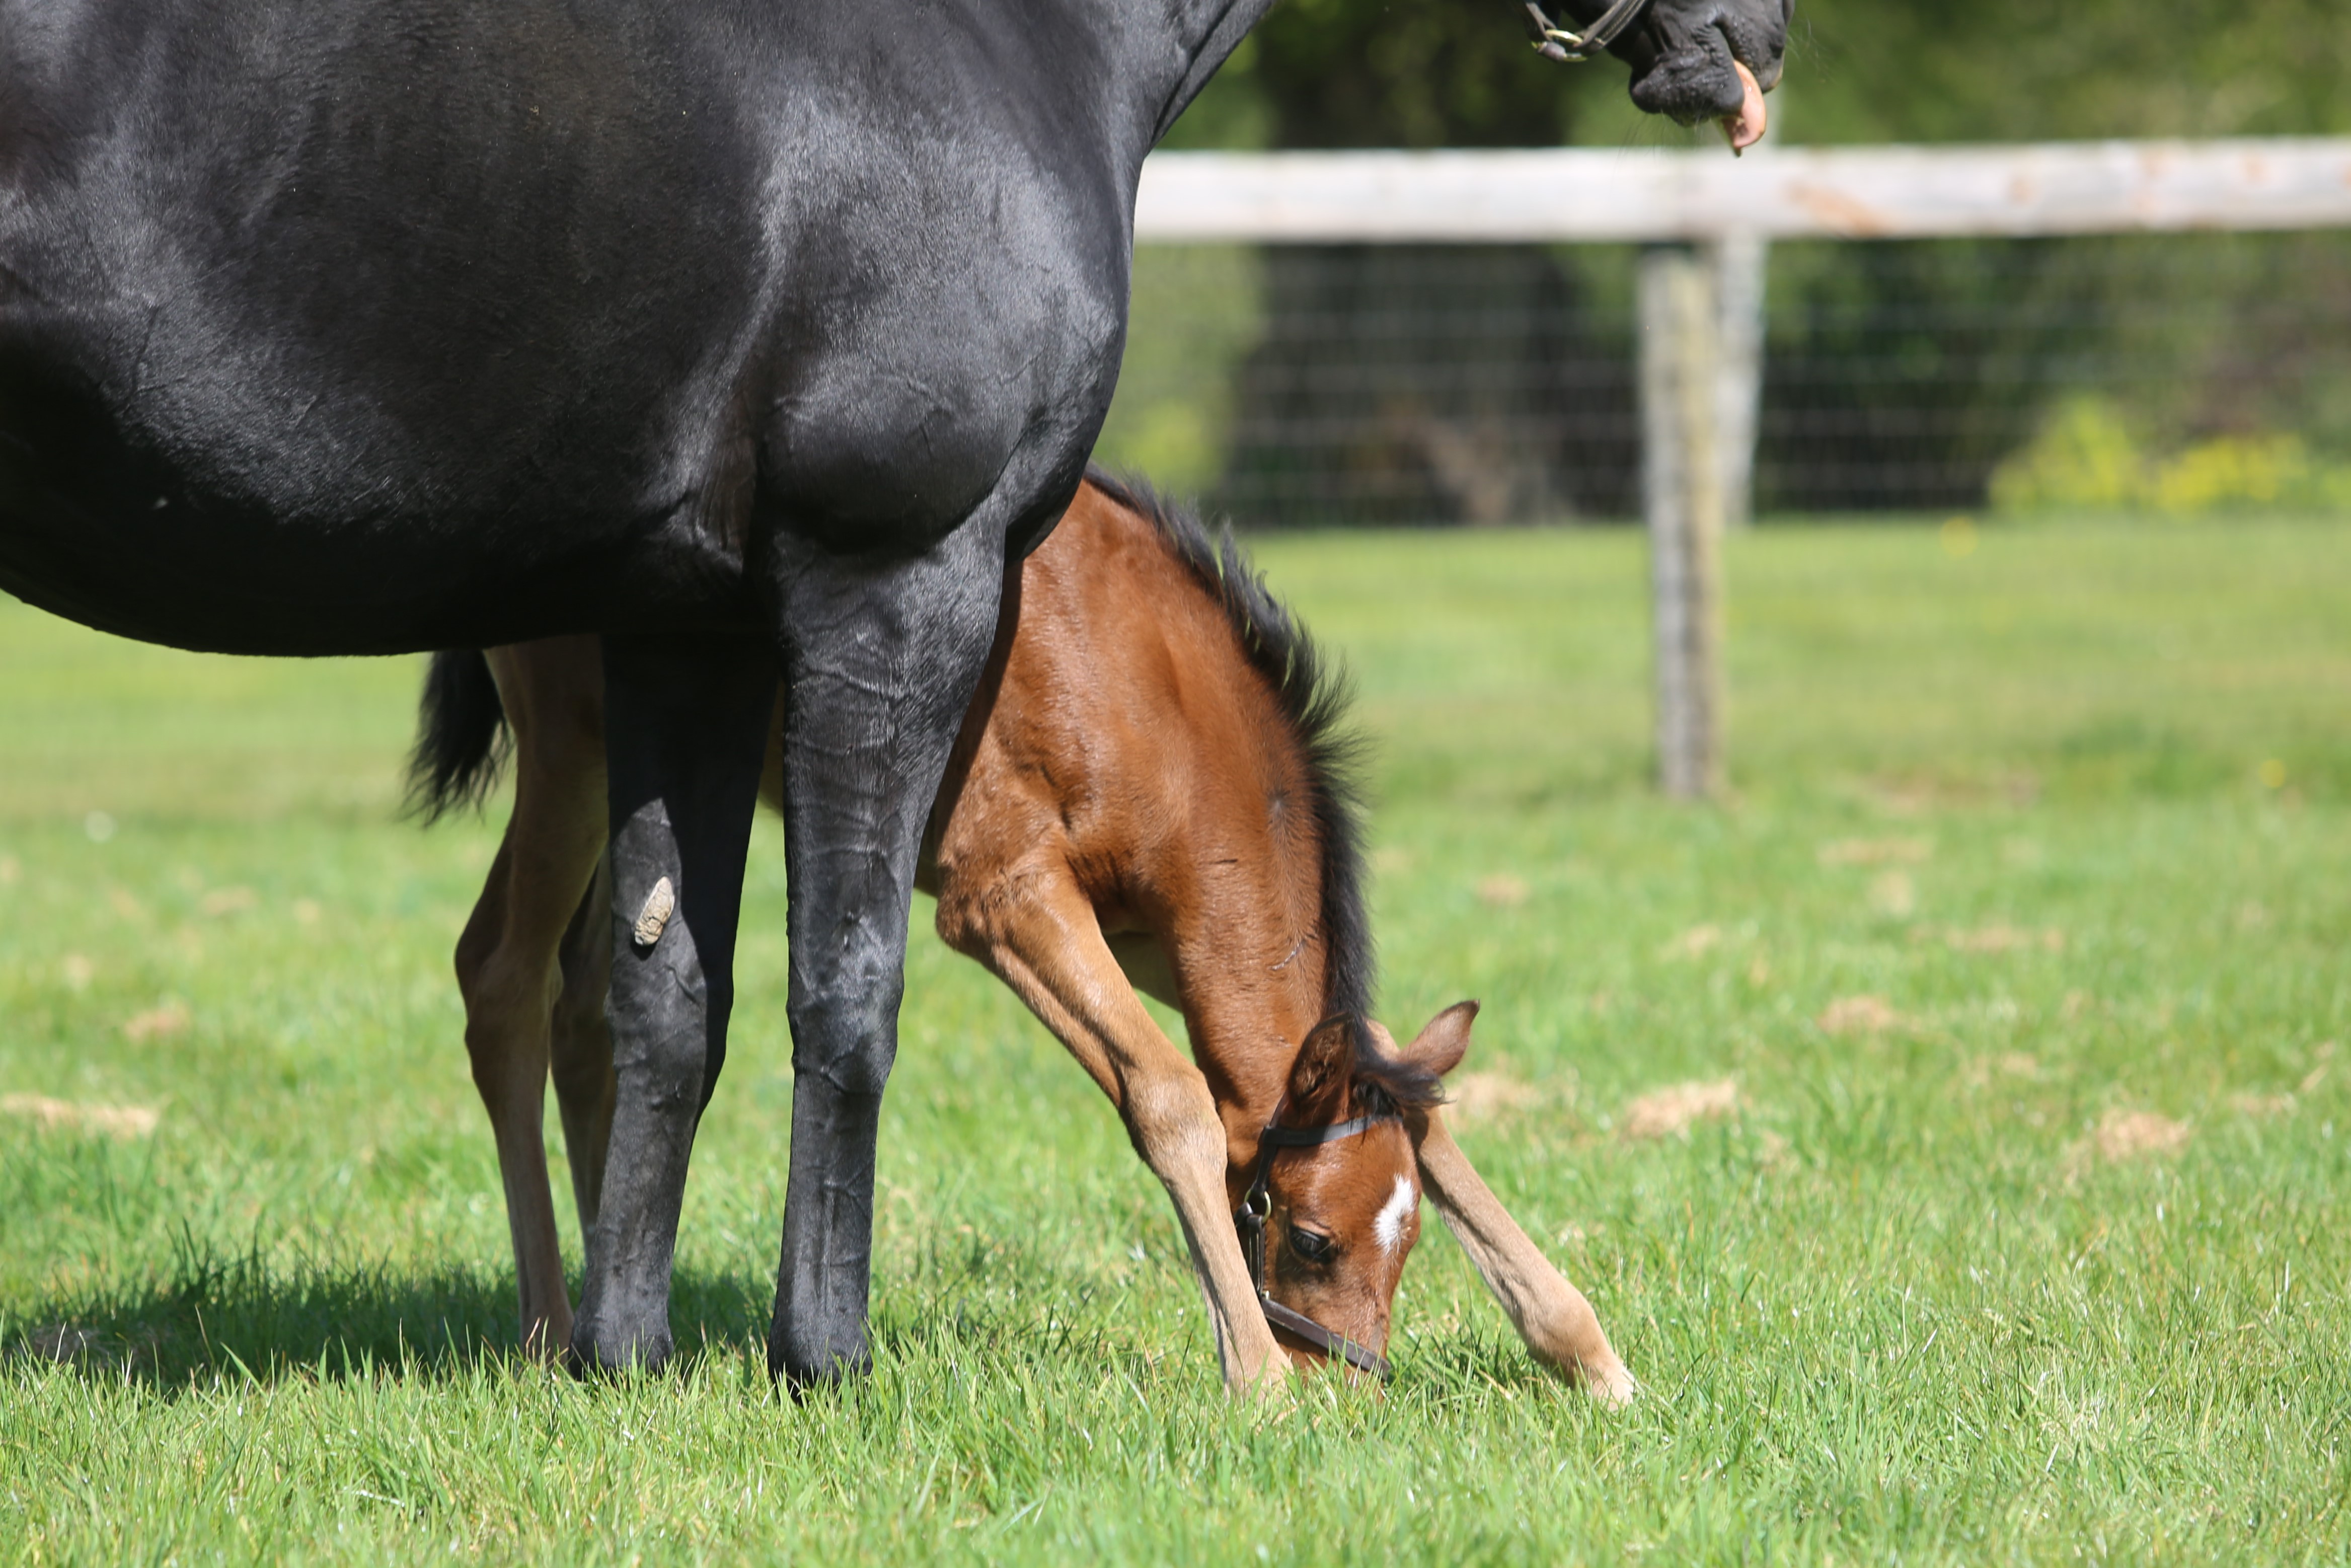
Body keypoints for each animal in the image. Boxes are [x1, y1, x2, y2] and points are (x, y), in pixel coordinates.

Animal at [418, 479, 1636, 1401]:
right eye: (1308, 1238)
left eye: (1408, 1240)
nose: (1349, 1388)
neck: (1143, 686)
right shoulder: (1003, 897)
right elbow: (1170, 1098)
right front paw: (1256, 1383)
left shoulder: (1156, 936)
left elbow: (1408, 1099)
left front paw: (1590, 1357)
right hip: (572, 752)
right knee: (499, 979)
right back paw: (549, 1328)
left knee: (582, 1007)